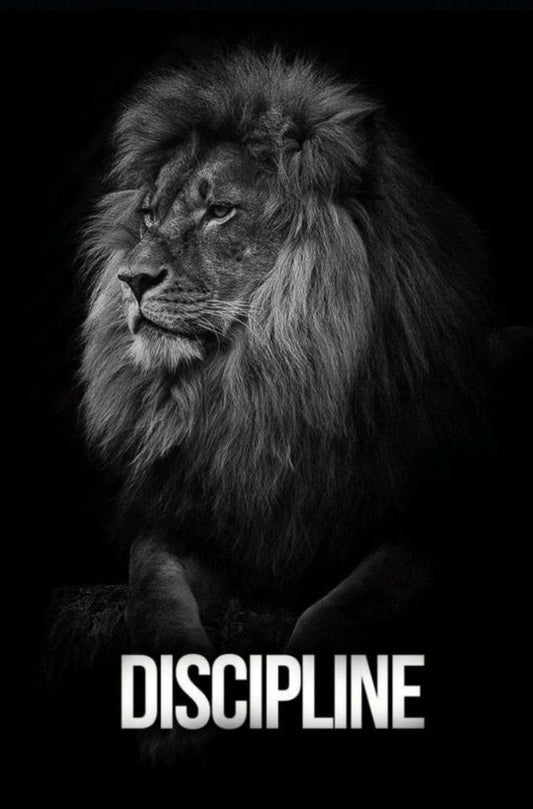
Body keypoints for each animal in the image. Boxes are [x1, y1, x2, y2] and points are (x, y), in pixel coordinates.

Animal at [81, 48, 492, 762]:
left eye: (220, 211)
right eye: (150, 216)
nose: (130, 279)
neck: (262, 392)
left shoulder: (427, 527)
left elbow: (341, 613)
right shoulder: (189, 521)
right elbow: (154, 601)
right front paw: (173, 723)